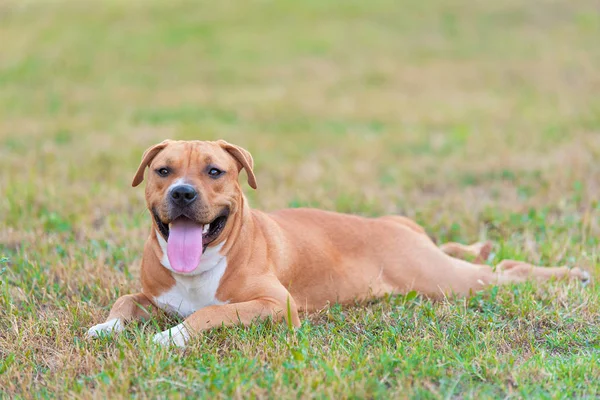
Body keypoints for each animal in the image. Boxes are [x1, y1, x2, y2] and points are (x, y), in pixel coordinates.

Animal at [86, 139, 588, 346]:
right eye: (163, 170)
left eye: (214, 171)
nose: (183, 193)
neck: (202, 265)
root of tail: (395, 225)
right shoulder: (153, 294)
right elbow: (125, 301)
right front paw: (105, 328)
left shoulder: (275, 305)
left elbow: (211, 312)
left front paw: (172, 336)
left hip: (446, 281)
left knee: (506, 272)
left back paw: (572, 274)